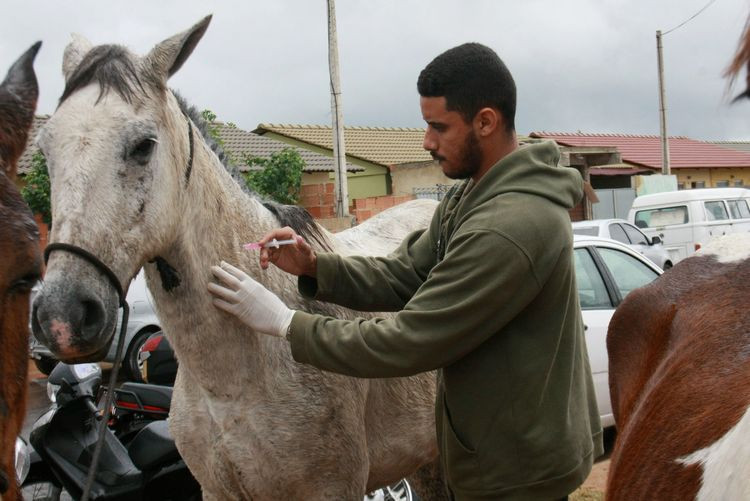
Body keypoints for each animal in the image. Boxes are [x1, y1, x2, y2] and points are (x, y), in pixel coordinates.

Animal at [30, 15, 446, 500]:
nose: (62, 316)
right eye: (46, 148)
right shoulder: (216, 489)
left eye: (144, 144)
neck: (234, 377)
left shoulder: (332, 488)